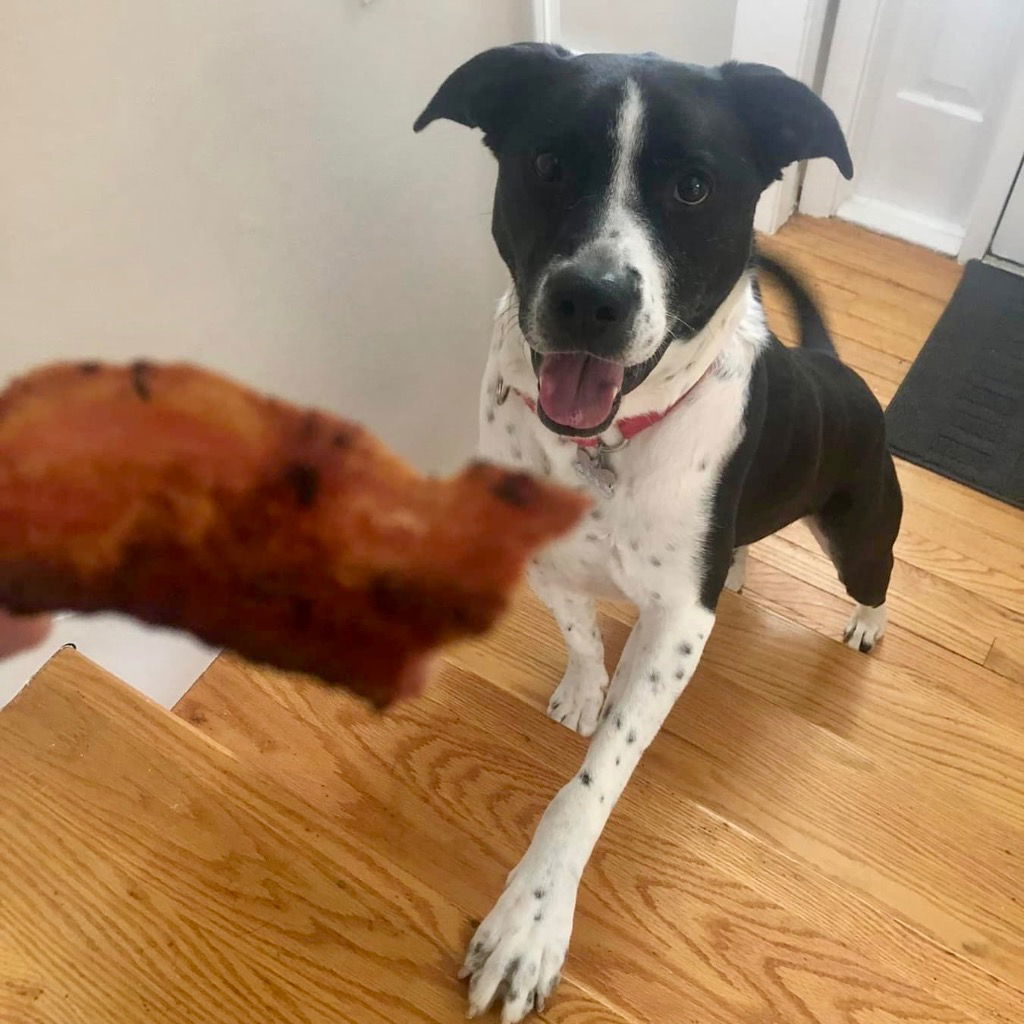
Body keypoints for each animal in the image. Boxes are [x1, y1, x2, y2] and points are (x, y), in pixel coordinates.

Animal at [411, 46, 901, 1024]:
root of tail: (835, 367)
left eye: (693, 186)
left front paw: (530, 922)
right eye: (548, 164)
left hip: (860, 533)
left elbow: (592, 783)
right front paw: (582, 688)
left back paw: (866, 621)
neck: (606, 444)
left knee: (879, 576)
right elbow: (576, 631)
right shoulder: (541, 553)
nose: (589, 299)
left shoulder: (677, 623)